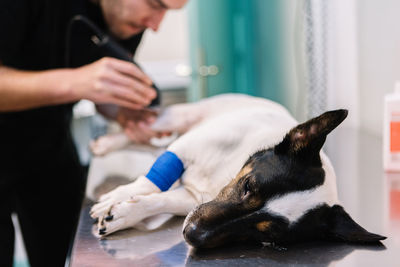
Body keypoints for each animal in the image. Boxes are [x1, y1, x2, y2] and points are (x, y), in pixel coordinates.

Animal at [90, 93, 384, 249]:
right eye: (248, 186)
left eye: (267, 235)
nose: (190, 235)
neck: (225, 174)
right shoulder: (187, 146)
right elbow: (150, 183)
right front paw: (117, 199)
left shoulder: (192, 199)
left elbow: (160, 200)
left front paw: (123, 214)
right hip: (178, 119)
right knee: (145, 134)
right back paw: (109, 143)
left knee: (146, 143)